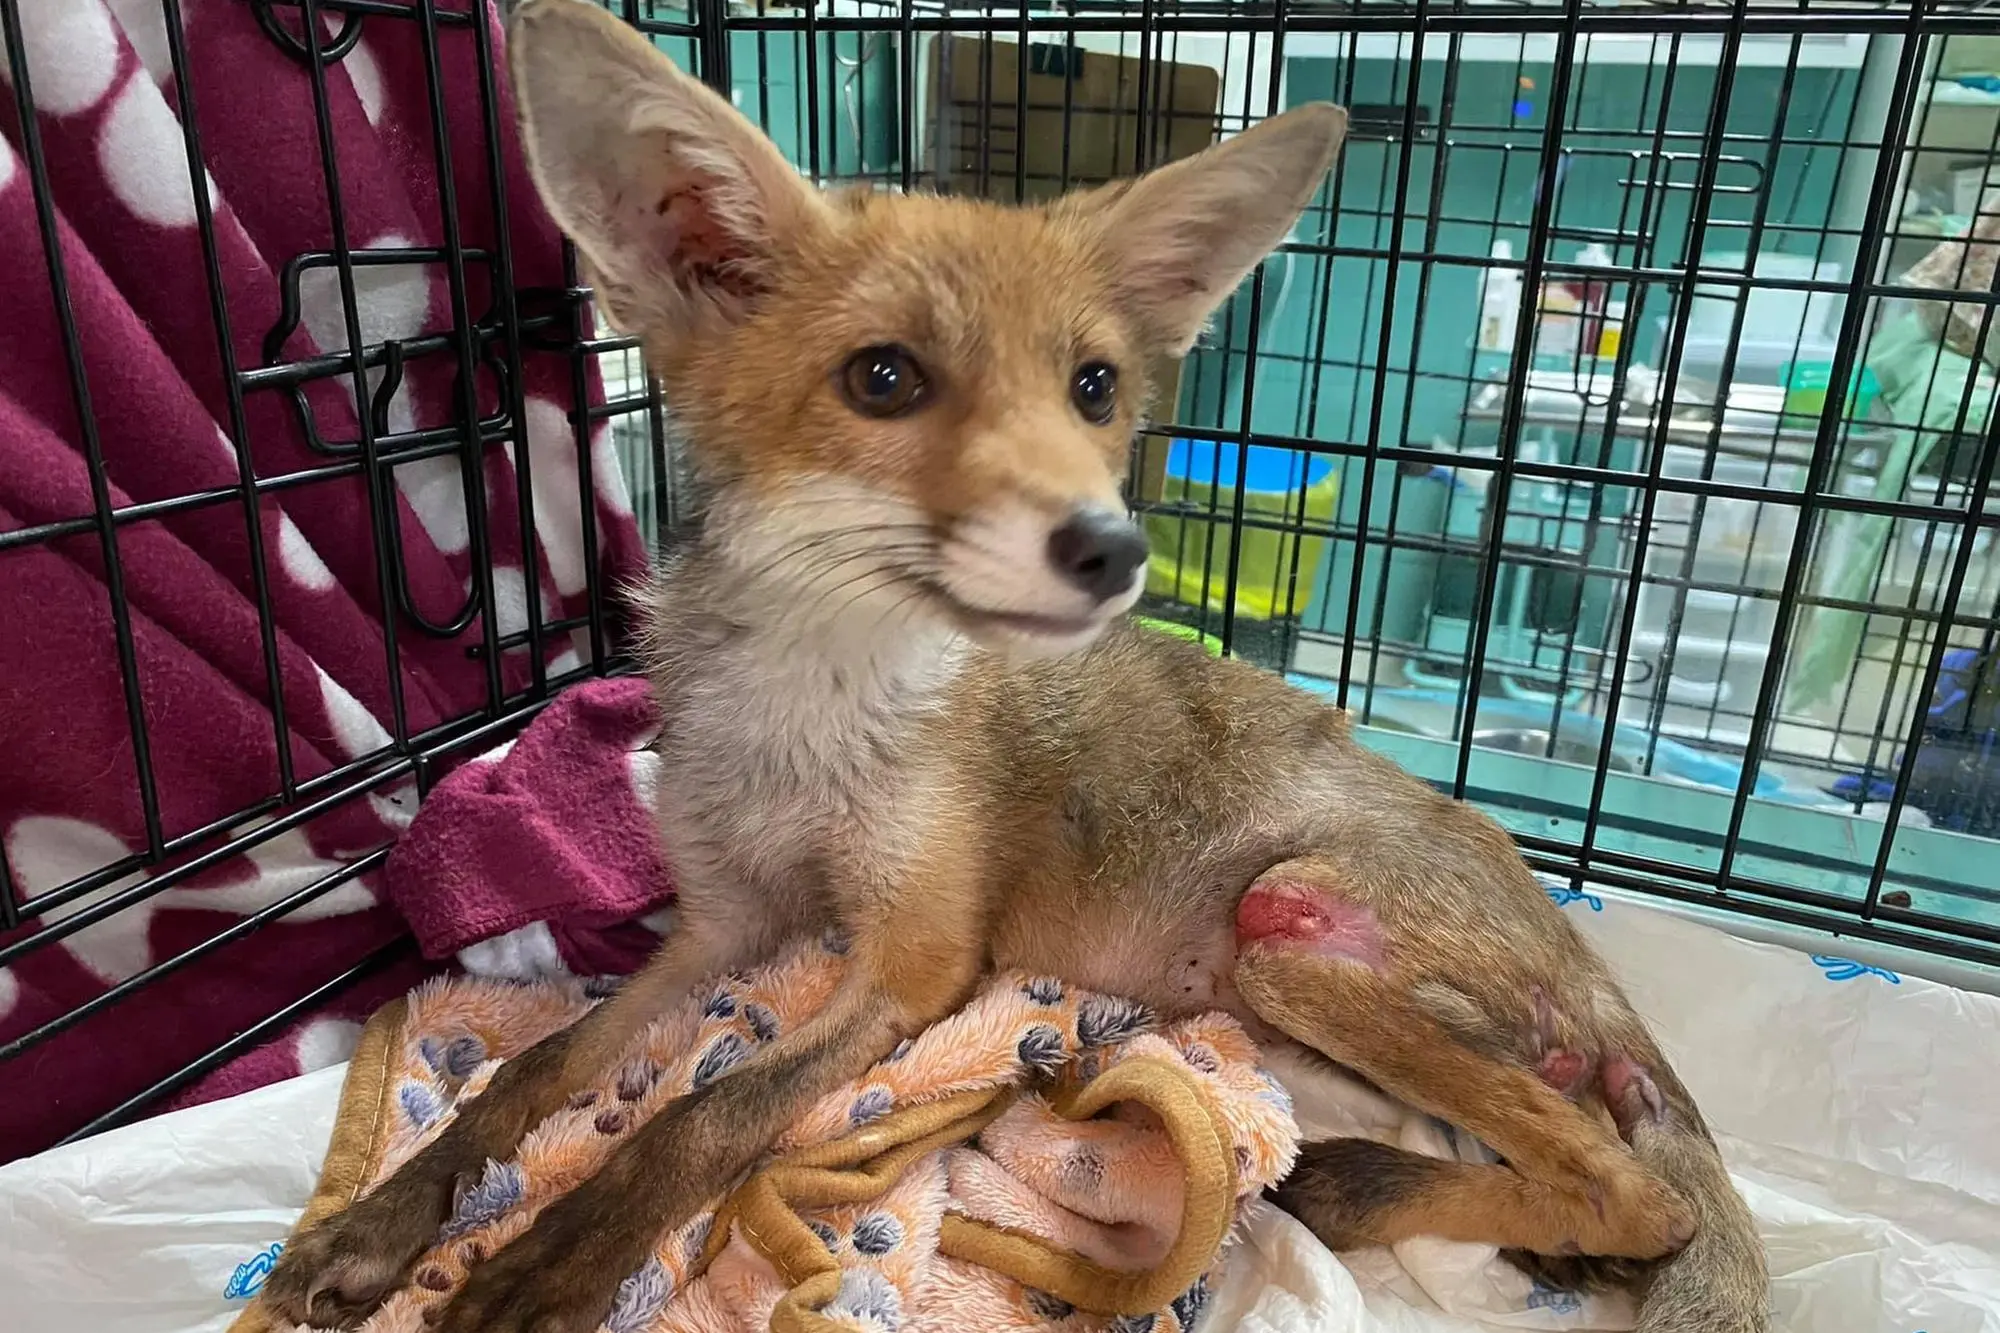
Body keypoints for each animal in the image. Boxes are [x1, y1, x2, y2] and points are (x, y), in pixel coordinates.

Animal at [259, 3, 1769, 1331]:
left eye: (1092, 388)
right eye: (883, 378)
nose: (1114, 549)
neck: (812, 718)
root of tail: (1565, 929)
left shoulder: (916, 962)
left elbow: (698, 1116)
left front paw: (542, 1271)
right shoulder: (718, 925)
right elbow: (532, 1074)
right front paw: (379, 1225)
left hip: (1285, 937)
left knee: (1643, 1198)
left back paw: (1366, 1185)